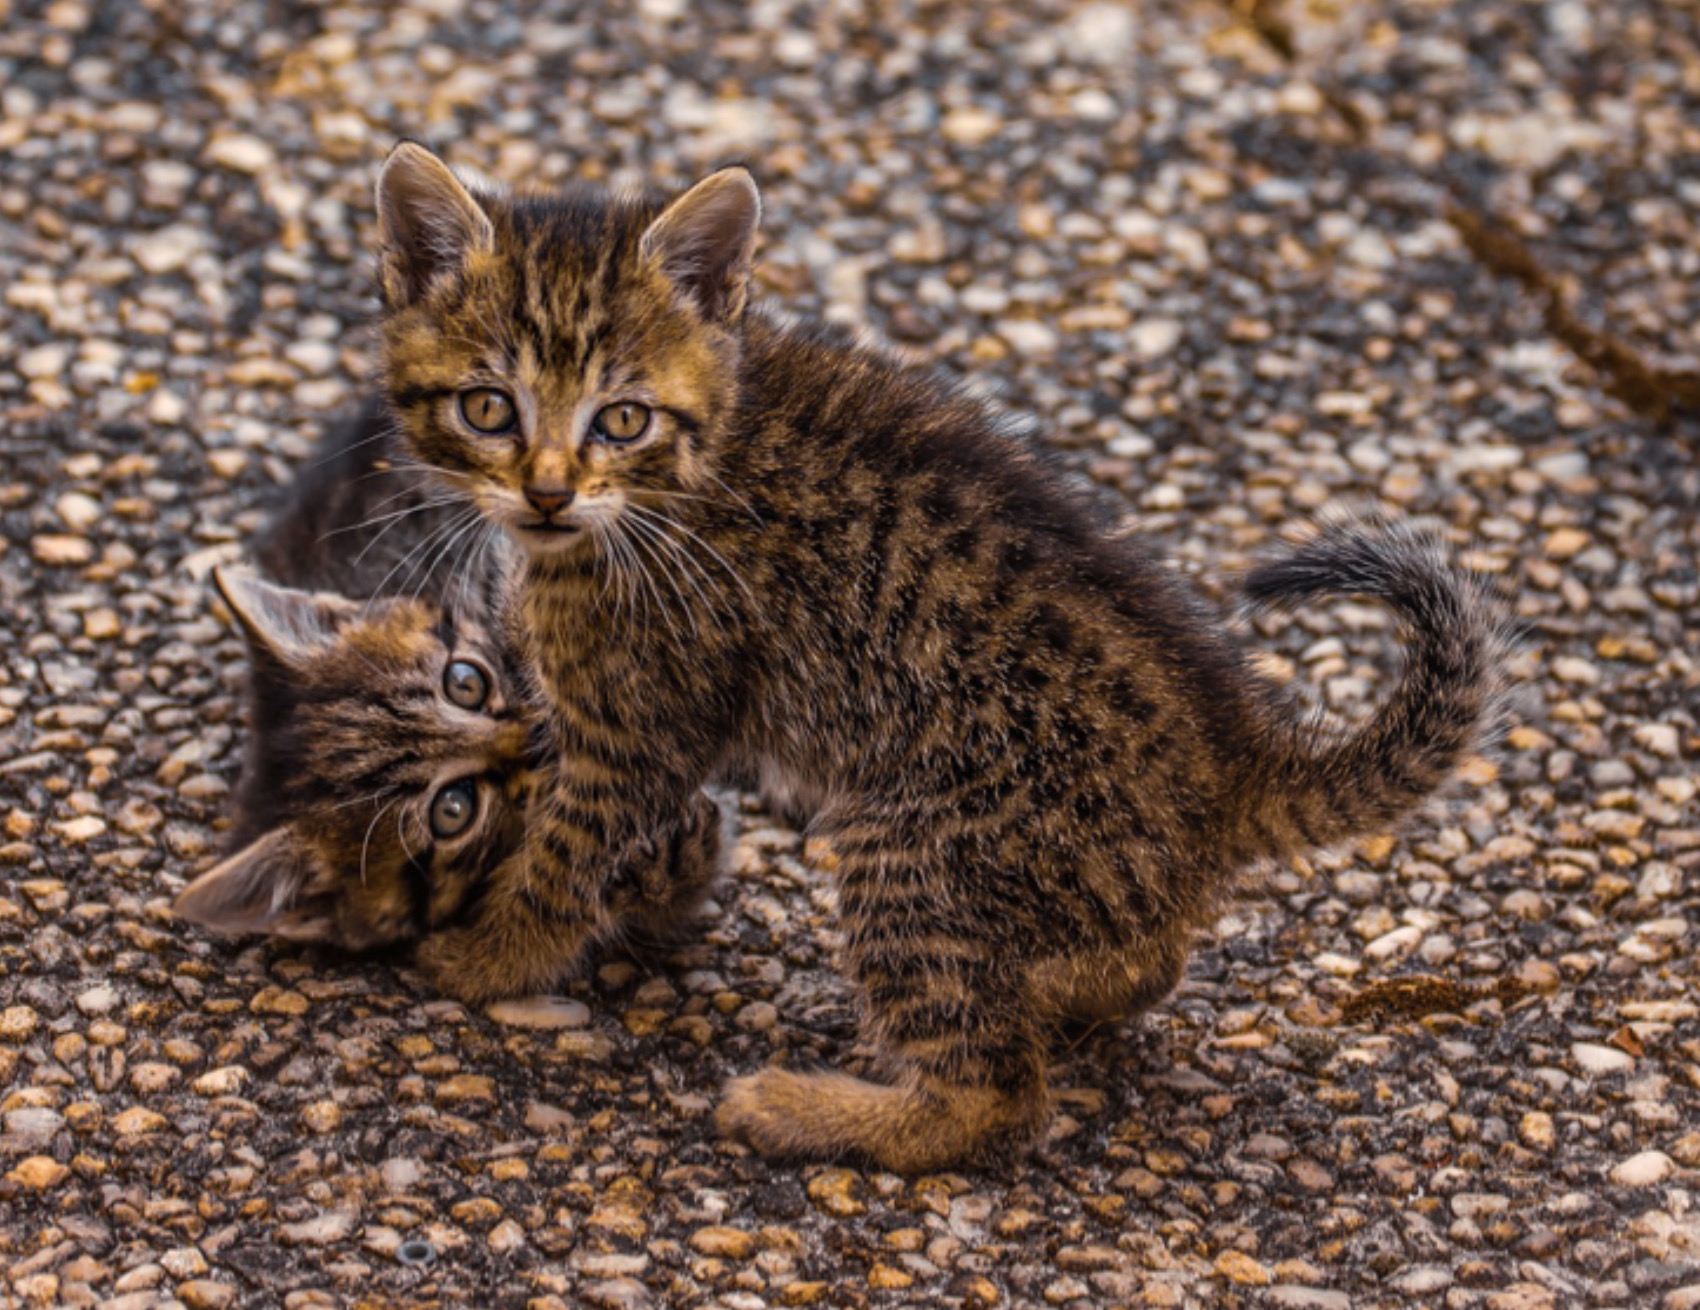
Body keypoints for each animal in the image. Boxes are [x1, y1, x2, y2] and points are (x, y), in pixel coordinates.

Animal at [375, 141, 1516, 1168]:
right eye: (489, 407)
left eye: (620, 418)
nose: (548, 491)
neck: (681, 477)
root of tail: (1227, 762)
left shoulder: (641, 726)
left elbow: (561, 859)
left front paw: (490, 957)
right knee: (1136, 968)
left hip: (920, 850)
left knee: (996, 1099)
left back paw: (813, 1111)